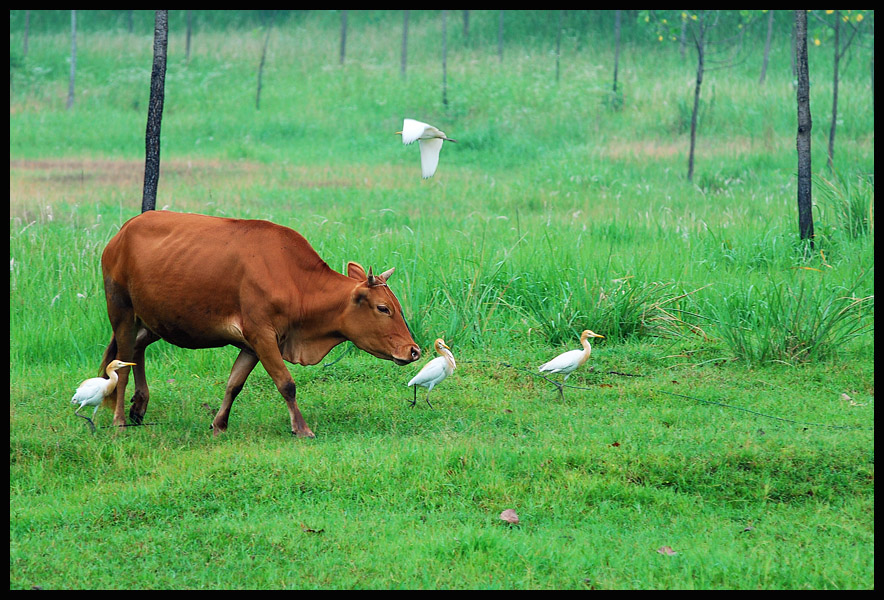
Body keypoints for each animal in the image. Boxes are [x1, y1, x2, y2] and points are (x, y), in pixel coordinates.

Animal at [98, 210, 424, 436]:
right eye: (383, 308)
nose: (414, 351)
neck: (296, 282)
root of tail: (122, 233)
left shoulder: (253, 344)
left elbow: (234, 383)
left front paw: (219, 425)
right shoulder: (262, 335)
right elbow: (286, 383)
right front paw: (301, 428)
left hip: (156, 321)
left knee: (137, 351)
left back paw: (139, 406)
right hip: (122, 312)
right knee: (122, 364)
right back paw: (120, 420)